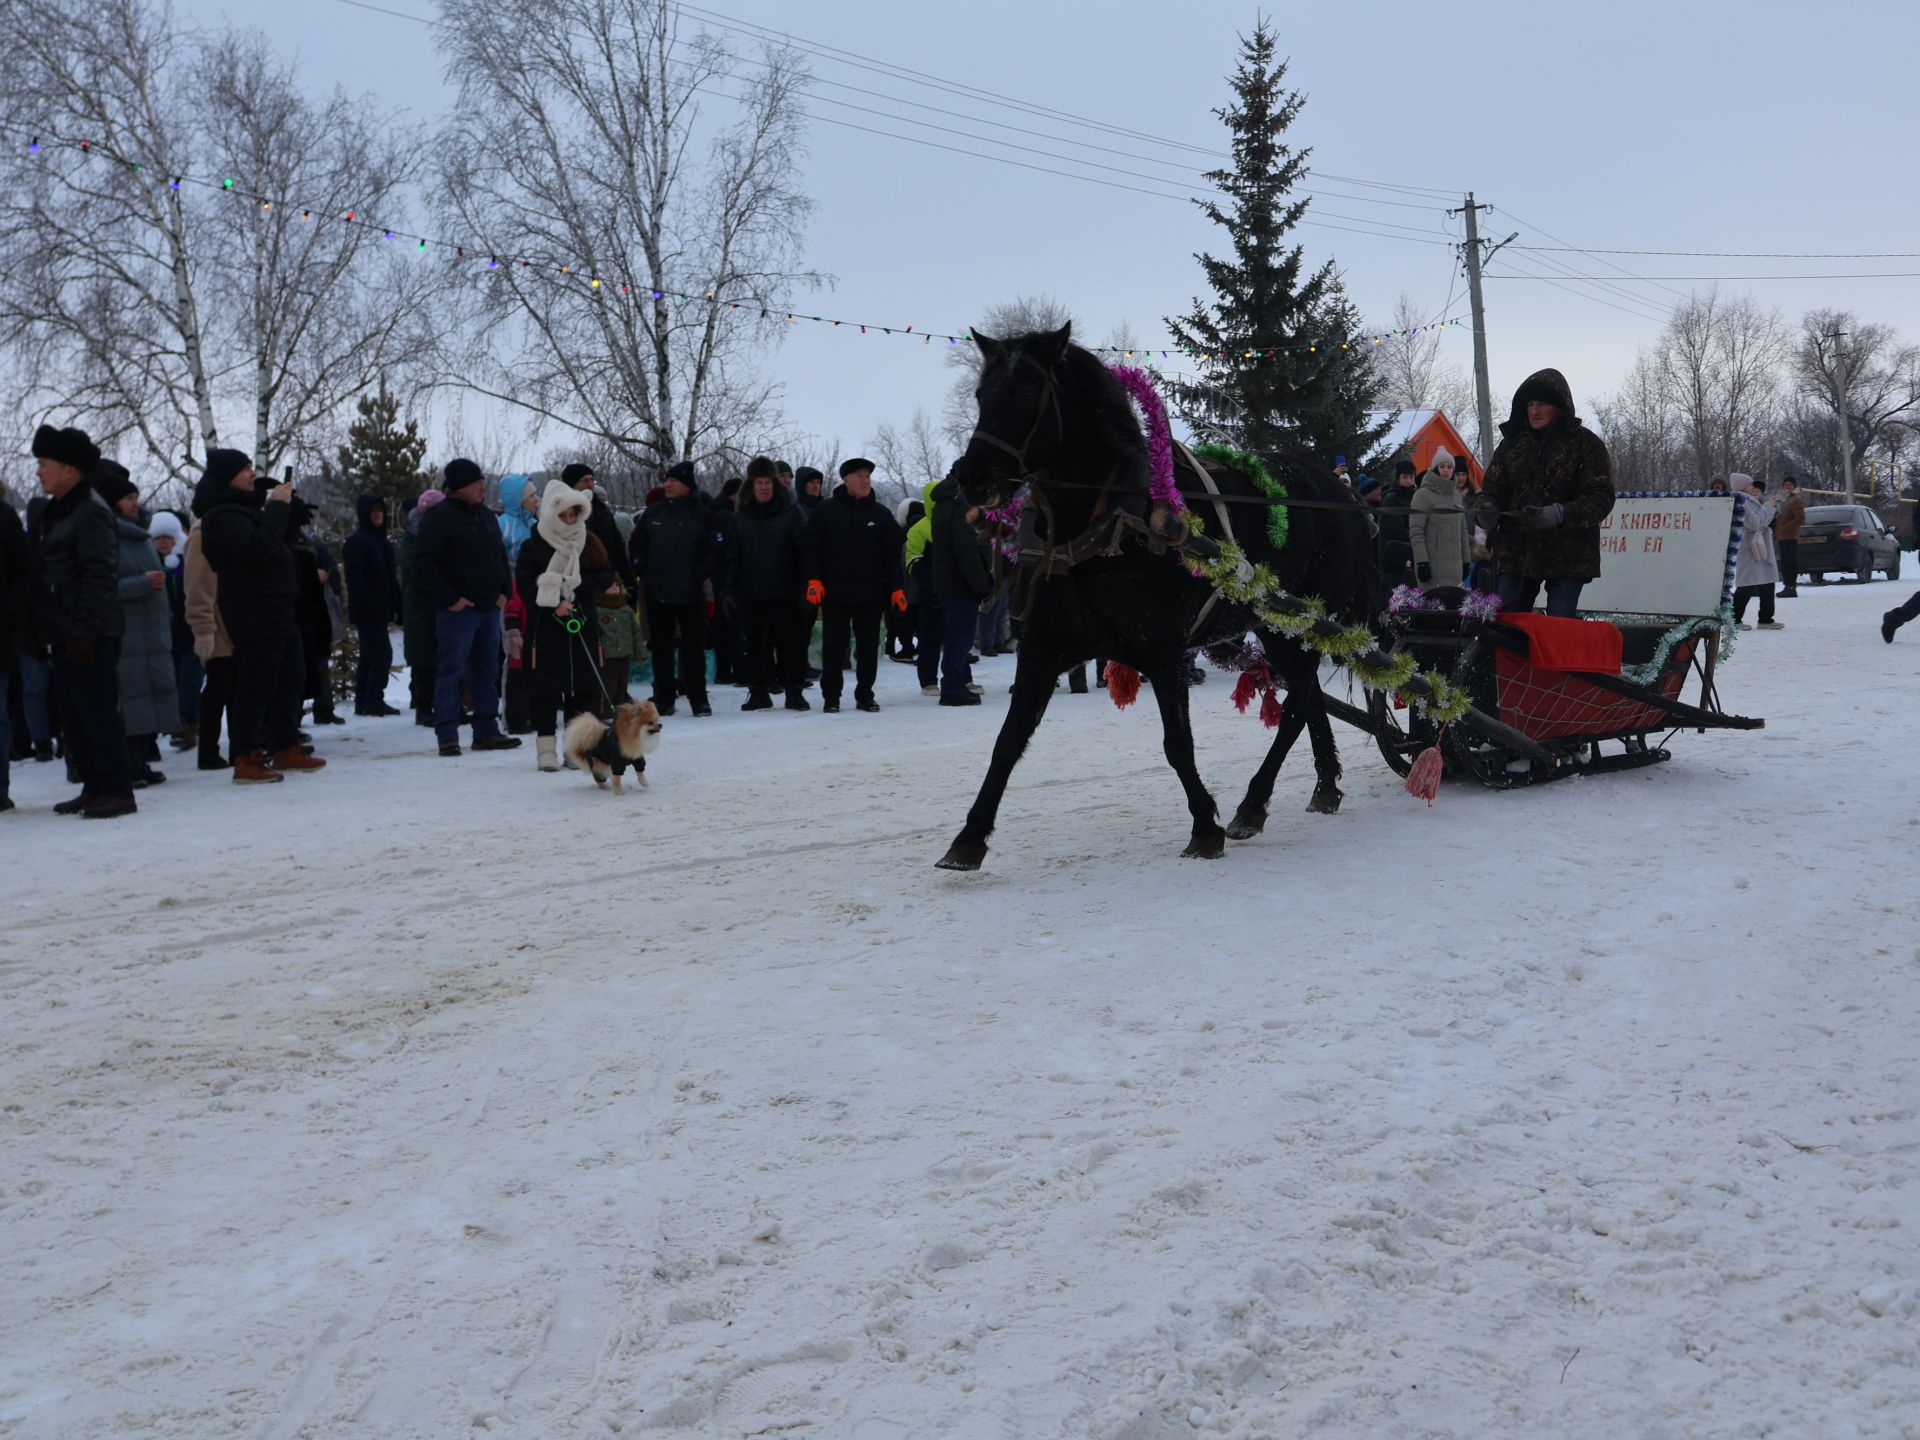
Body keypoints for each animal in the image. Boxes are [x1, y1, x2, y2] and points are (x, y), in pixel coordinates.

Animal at [933, 324, 1374, 867]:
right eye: (981, 394)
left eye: (1025, 393)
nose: (972, 477)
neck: (1112, 524)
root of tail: (1342, 496)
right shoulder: (1041, 651)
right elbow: (1007, 742)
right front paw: (969, 837)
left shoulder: (1164, 652)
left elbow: (1177, 744)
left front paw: (1204, 825)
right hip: (1277, 628)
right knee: (1308, 700)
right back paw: (1322, 786)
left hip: (1297, 625)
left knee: (1297, 705)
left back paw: (1253, 803)